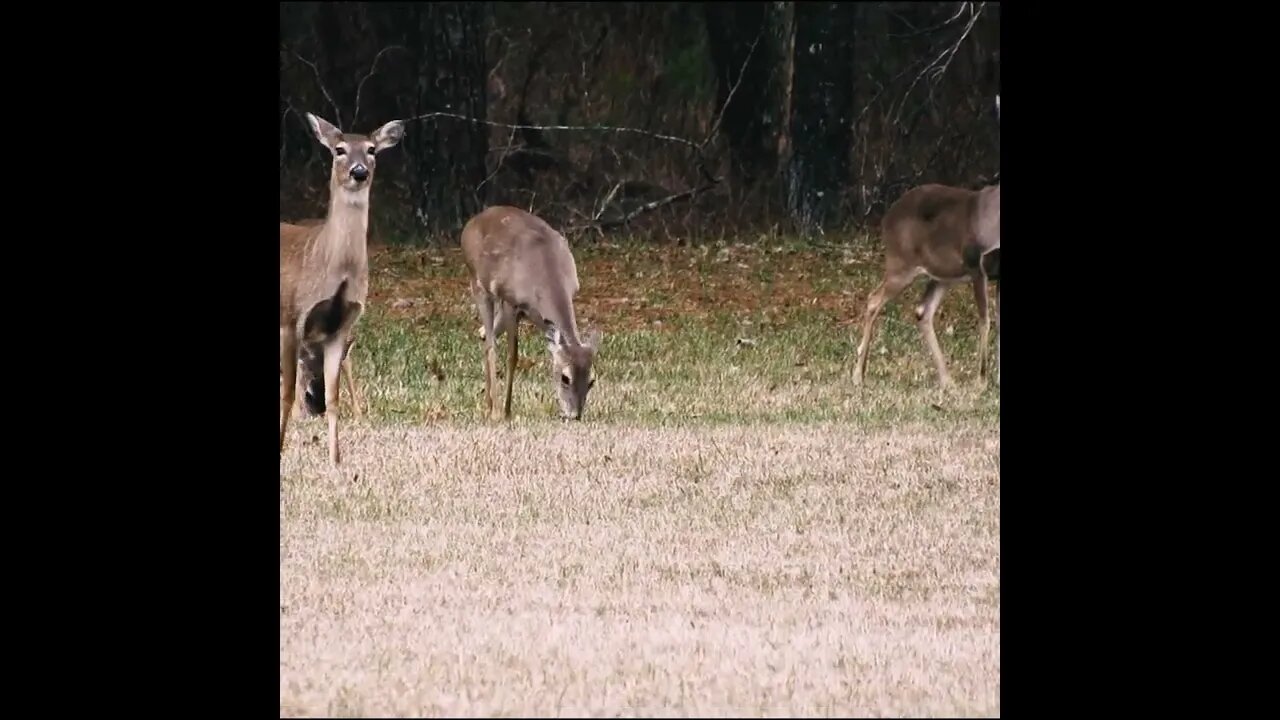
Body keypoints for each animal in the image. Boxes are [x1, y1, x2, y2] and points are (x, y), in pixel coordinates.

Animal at [281, 109, 401, 461]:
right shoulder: (291, 318)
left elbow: (333, 397)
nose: (358, 172)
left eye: (372, 150)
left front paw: (335, 459)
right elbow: (289, 394)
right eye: (339, 150)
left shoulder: (339, 327)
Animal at [460, 206, 604, 420]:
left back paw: (488, 404)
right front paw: (506, 411)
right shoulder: (511, 301)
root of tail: (471, 223)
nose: (574, 415)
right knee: (491, 345)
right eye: (565, 378)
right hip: (478, 285)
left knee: (484, 335)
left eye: (591, 380)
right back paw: (494, 410)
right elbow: (512, 356)